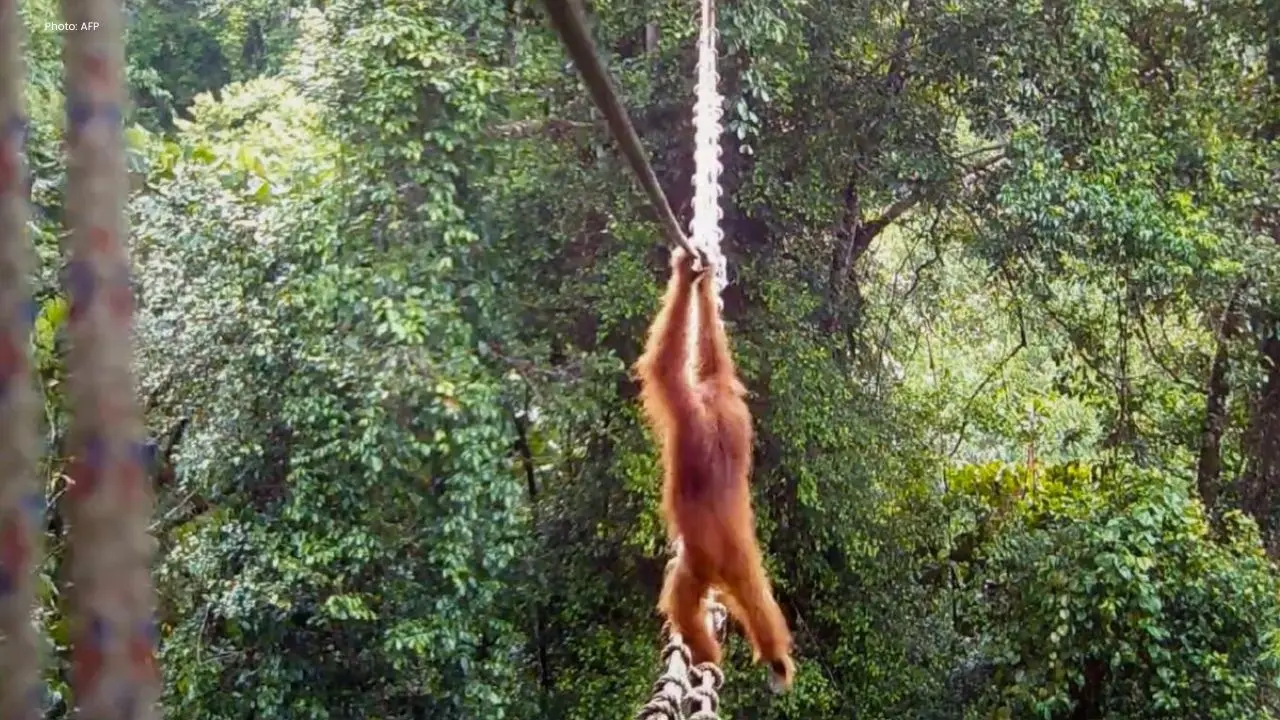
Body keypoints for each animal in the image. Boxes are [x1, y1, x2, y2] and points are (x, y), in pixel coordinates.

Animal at [633, 247, 796, 691]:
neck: (713, 409)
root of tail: (731, 545)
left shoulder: (686, 409)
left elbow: (665, 366)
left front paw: (684, 273)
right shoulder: (729, 397)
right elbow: (715, 359)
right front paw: (703, 283)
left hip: (698, 563)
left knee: (680, 599)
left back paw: (704, 656)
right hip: (741, 560)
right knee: (758, 600)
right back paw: (776, 659)